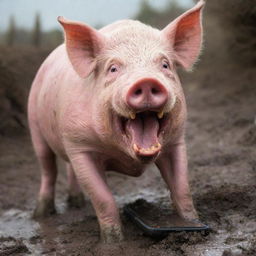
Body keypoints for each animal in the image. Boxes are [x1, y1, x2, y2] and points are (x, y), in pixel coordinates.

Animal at [27, 1, 204, 243]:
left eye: (165, 65)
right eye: (113, 68)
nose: (146, 81)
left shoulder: (177, 141)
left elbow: (182, 187)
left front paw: (191, 223)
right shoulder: (79, 146)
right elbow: (103, 198)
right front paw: (113, 242)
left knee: (68, 169)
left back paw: (76, 203)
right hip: (35, 125)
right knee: (48, 169)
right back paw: (42, 214)